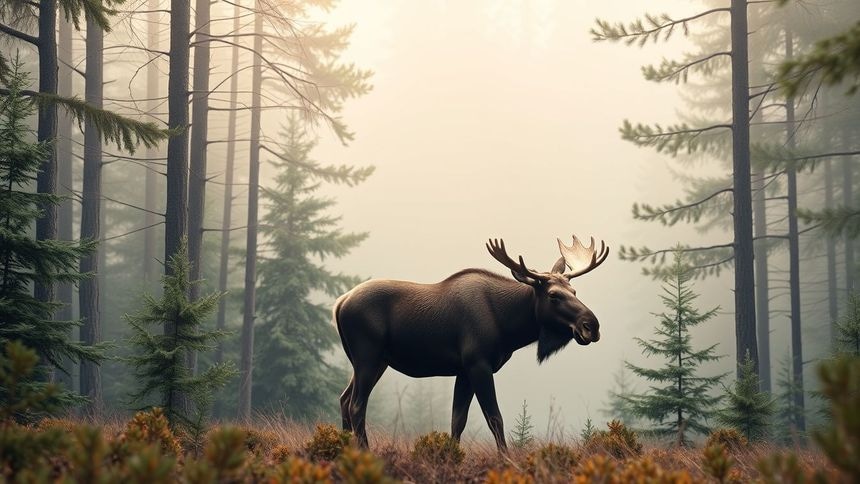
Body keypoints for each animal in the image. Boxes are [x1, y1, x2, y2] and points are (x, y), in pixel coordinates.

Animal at [333, 235, 609, 450]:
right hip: (368, 356)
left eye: (574, 292)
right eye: (553, 295)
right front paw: (506, 459)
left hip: (375, 362)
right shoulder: (478, 364)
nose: (592, 326)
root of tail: (340, 303)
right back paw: (364, 453)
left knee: (344, 399)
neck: (508, 325)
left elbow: (458, 420)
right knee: (357, 405)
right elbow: (495, 418)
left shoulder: (463, 370)